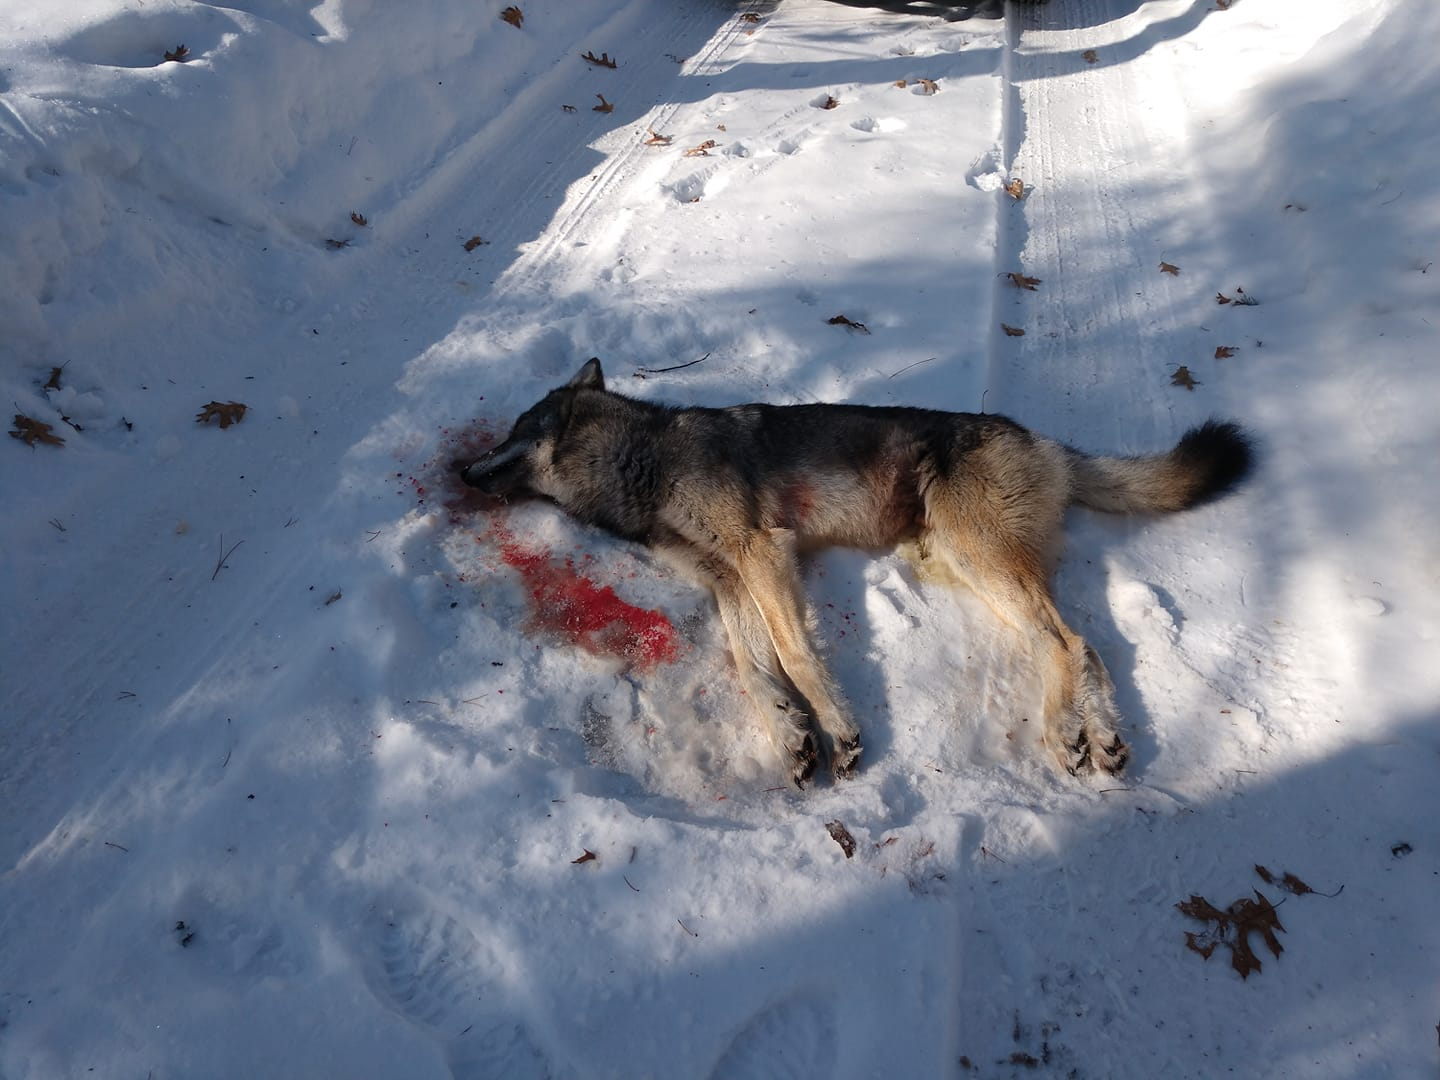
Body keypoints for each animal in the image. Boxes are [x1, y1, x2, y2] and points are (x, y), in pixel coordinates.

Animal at [460, 358, 1252, 787]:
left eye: (511, 433)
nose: (460, 470)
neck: (645, 461)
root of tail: (1046, 442)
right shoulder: (727, 579)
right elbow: (752, 669)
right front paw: (790, 735)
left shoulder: (762, 553)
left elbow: (795, 657)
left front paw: (837, 731)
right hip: (965, 568)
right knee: (1081, 647)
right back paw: (1102, 739)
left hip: (978, 559)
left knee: (1066, 643)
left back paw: (1067, 735)